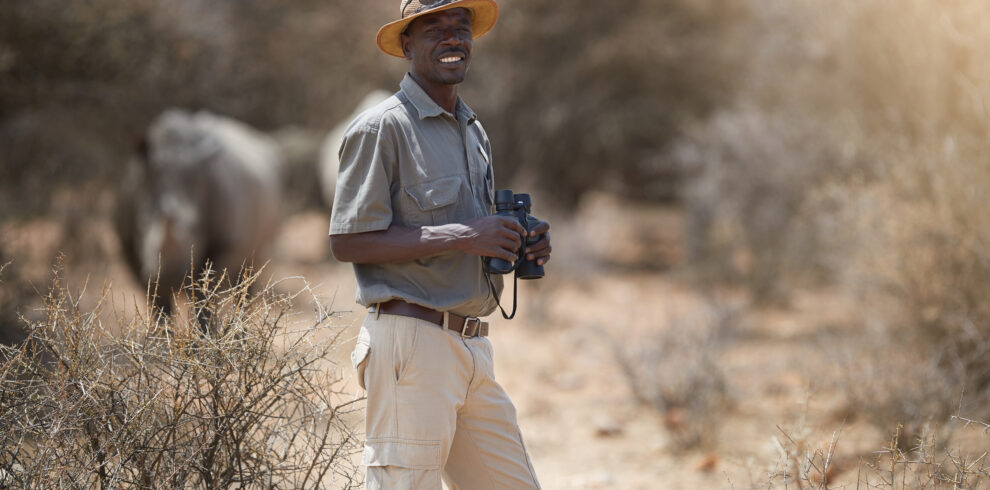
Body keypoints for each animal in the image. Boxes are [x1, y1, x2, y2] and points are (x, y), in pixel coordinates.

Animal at [115, 109, 284, 328]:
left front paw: (205, 335)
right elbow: (157, 302)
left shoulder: (224, 243)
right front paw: (162, 337)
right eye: (142, 221)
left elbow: (206, 294)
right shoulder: (131, 250)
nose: (169, 275)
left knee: (247, 278)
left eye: (195, 226)